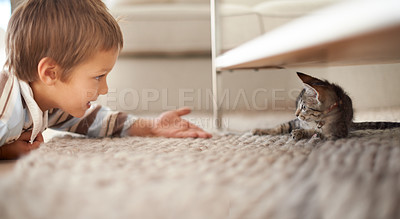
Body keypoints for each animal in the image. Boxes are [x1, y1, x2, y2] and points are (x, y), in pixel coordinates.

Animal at [253, 72, 400, 140]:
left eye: (304, 107)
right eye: (297, 105)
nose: (296, 114)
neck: (316, 121)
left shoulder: (335, 133)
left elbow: (316, 132)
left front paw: (300, 133)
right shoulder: (296, 121)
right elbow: (281, 126)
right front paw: (260, 130)